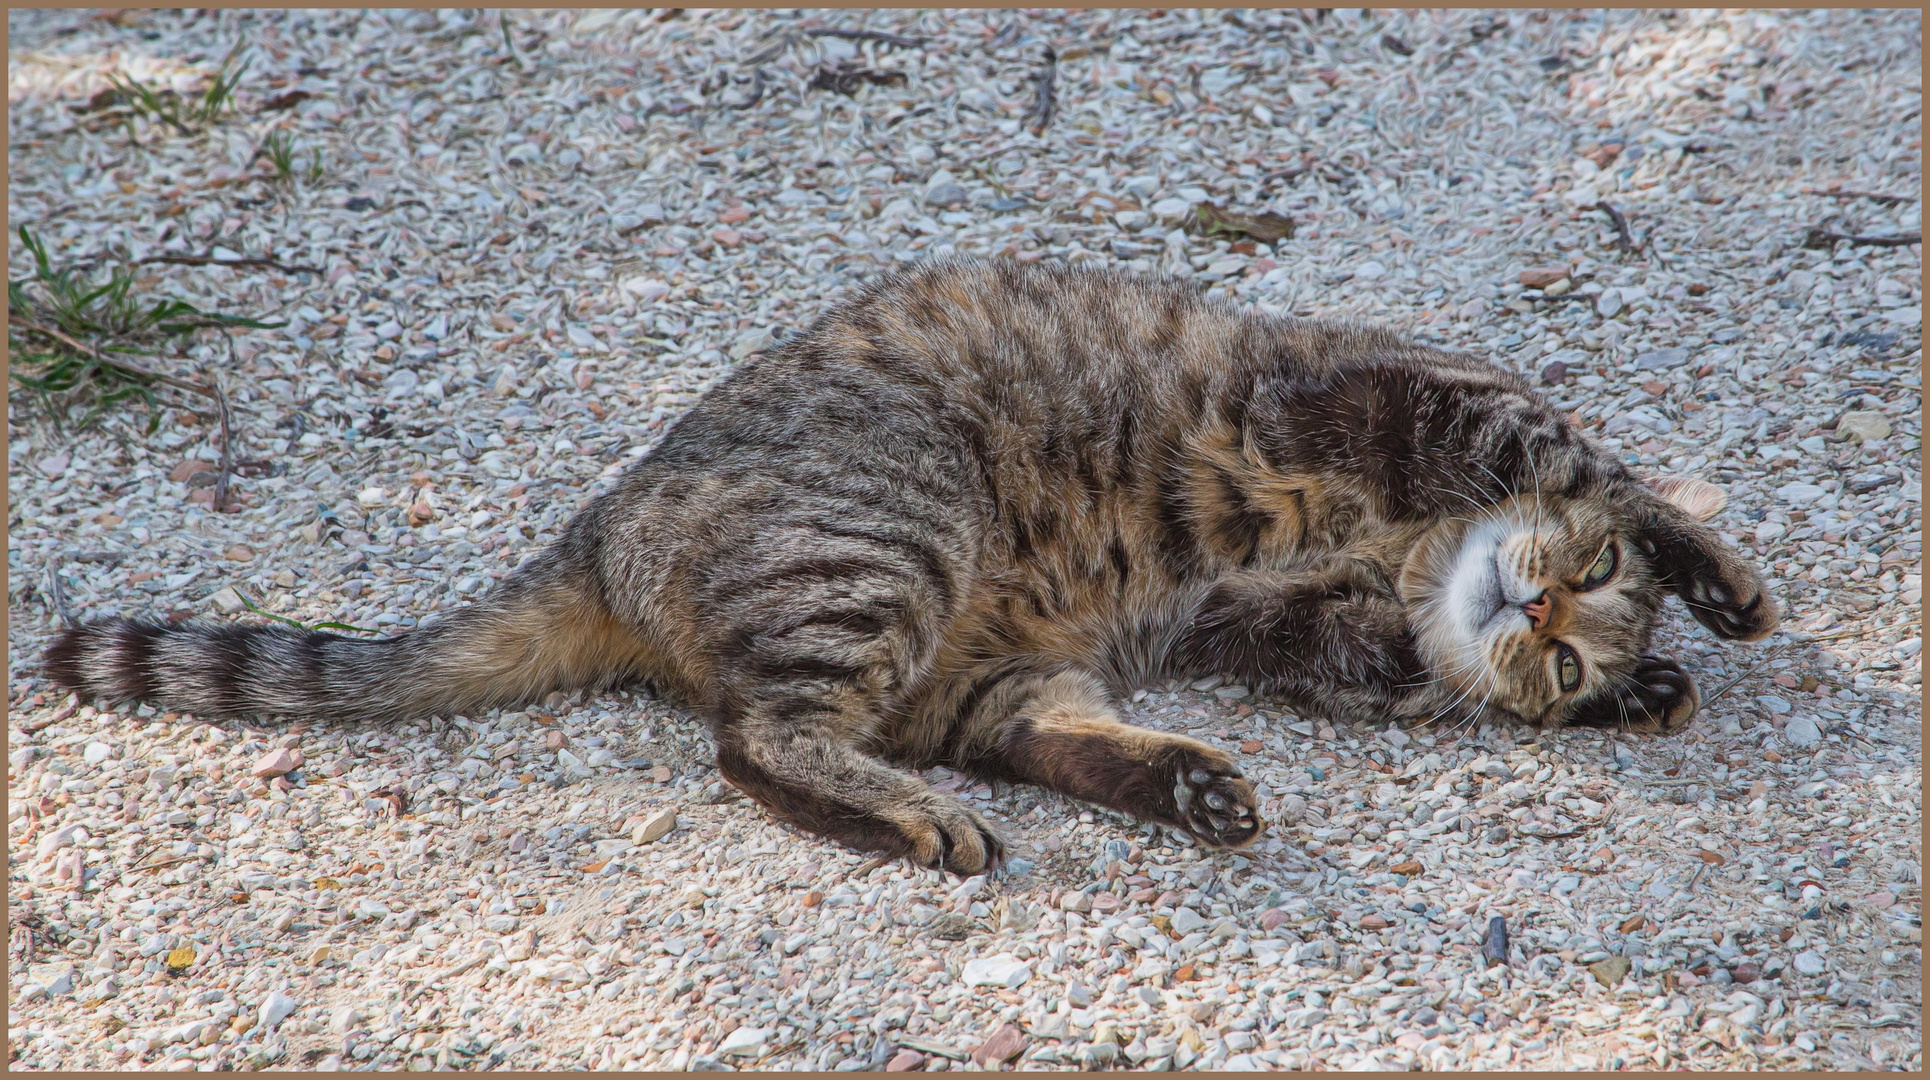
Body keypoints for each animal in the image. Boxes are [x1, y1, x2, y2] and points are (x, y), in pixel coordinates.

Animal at [41, 256, 1775, 871]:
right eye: (1577, 599)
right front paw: (1703, 570)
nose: (1539, 610)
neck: (1411, 565)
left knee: (947, 737)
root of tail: (601, 528)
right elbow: (1589, 458)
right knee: (755, 740)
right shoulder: (1381, 397)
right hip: (892, 529)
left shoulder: (1271, 618)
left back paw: (1169, 784)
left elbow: (1360, 649)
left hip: (980, 659)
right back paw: (908, 812)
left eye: (1566, 661)